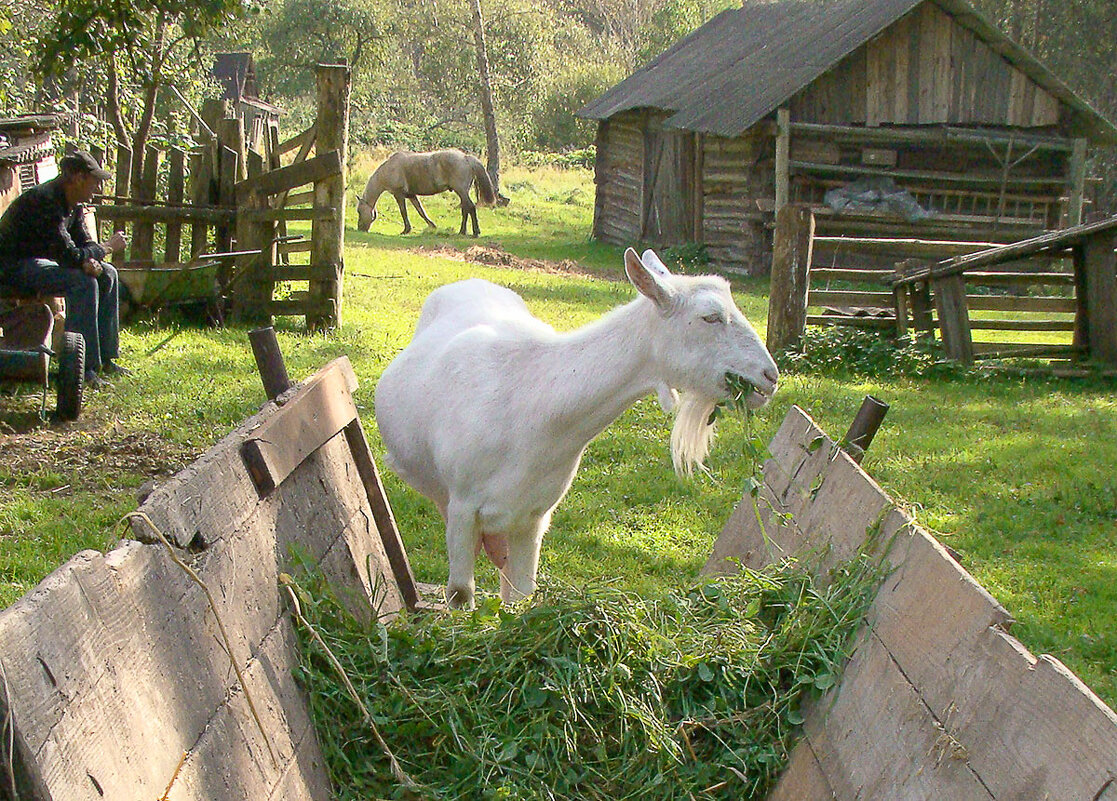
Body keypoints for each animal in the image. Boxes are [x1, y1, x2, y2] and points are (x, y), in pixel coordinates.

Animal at [357, 149, 498, 235]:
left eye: (359, 211)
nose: (360, 229)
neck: (389, 168)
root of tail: (465, 158)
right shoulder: (411, 195)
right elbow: (421, 211)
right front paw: (432, 226)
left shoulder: (399, 195)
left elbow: (404, 212)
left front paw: (406, 230)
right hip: (462, 193)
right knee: (466, 209)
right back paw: (462, 231)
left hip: (461, 191)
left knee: (470, 207)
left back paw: (475, 232)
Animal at [375, 248, 777, 607]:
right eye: (710, 317)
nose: (770, 376)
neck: (534, 409)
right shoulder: (463, 506)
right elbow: (460, 594)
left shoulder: (533, 517)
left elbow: (520, 597)